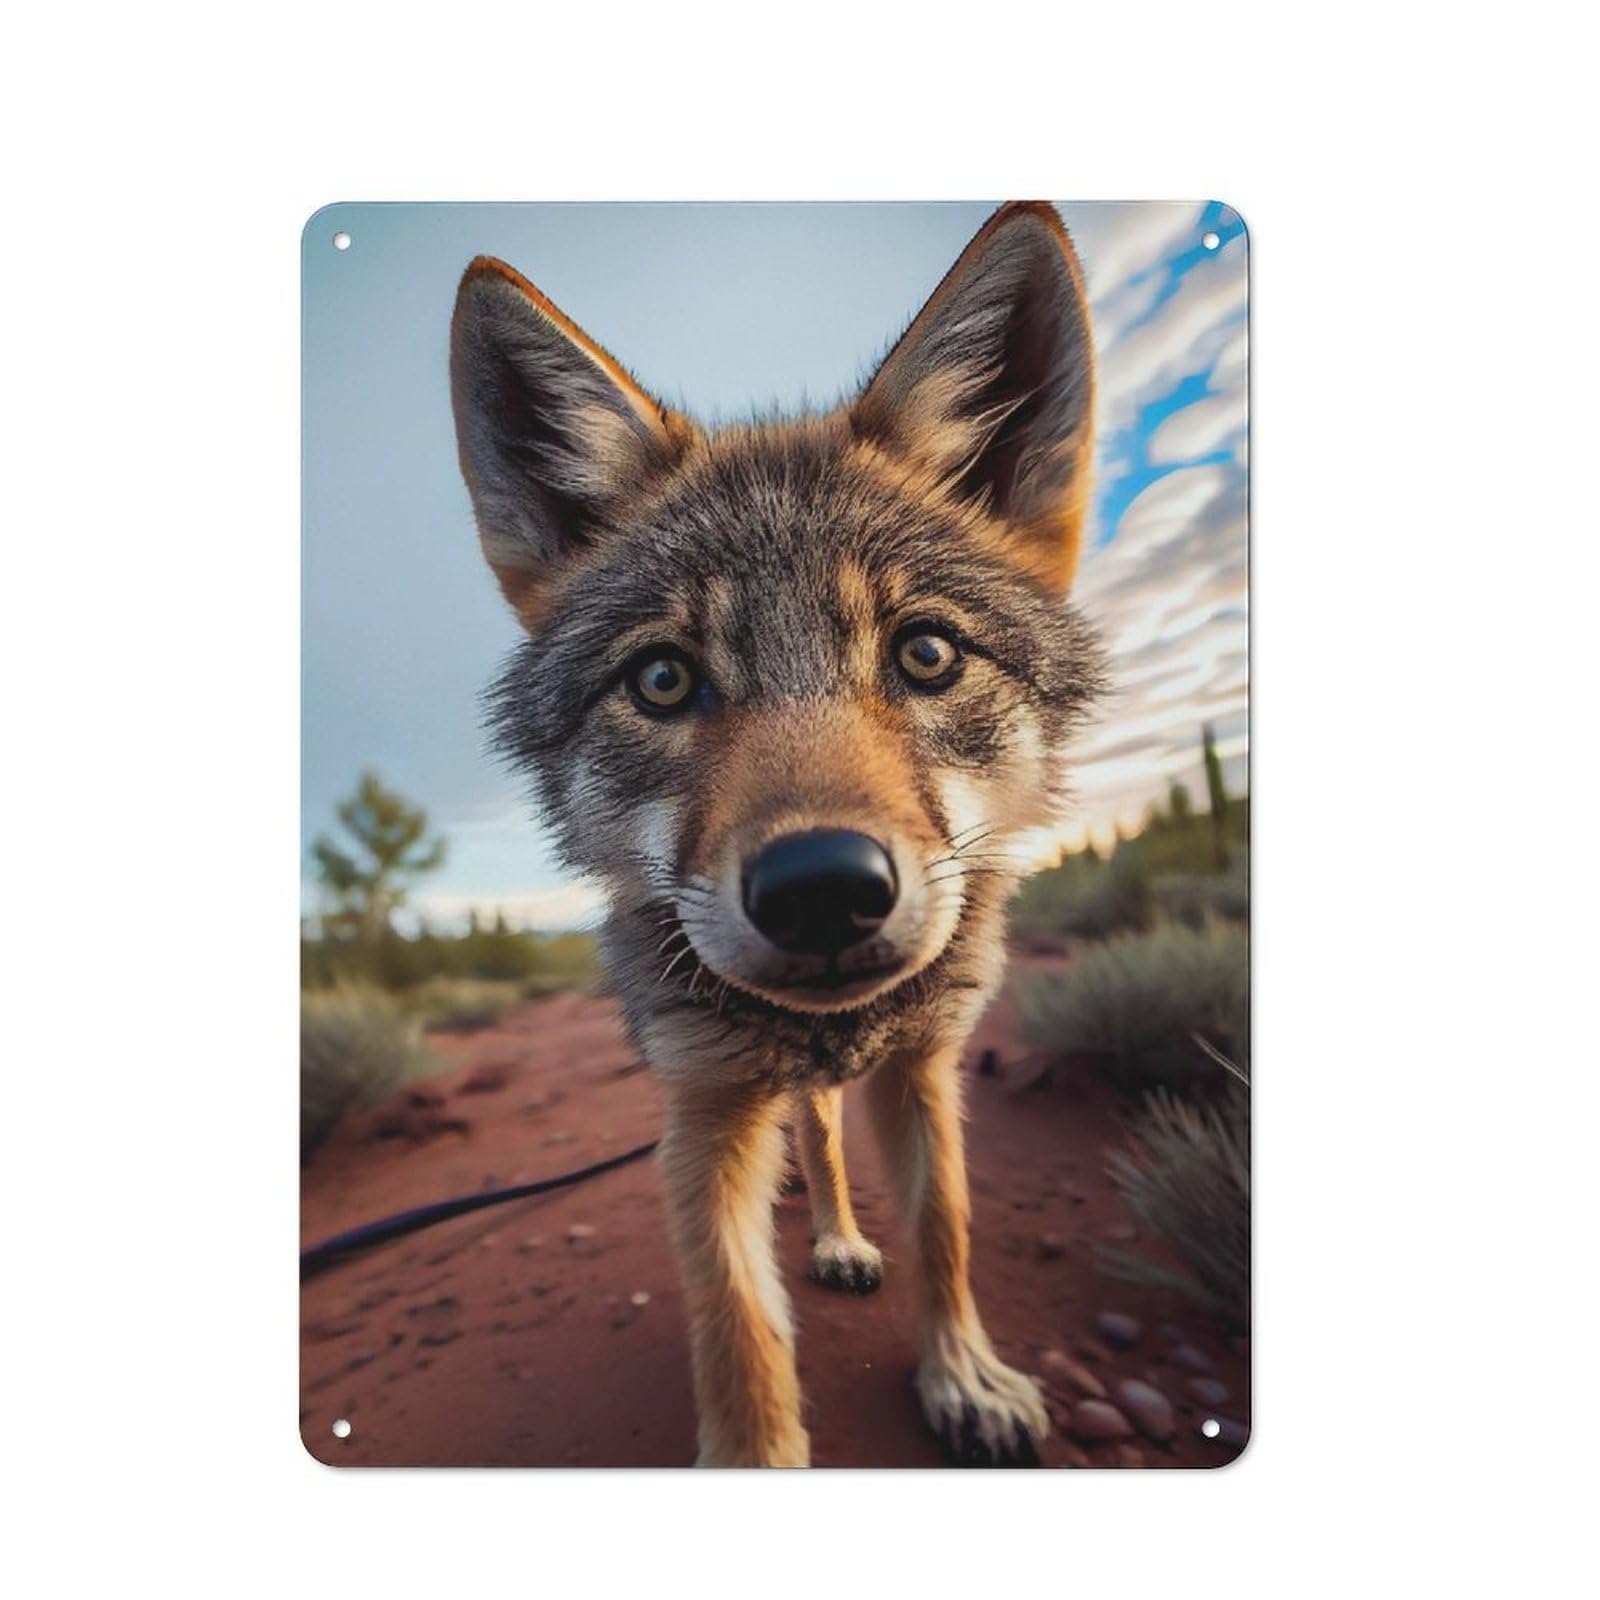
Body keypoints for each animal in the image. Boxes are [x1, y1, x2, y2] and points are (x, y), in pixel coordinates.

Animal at [450, 202, 1102, 1466]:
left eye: (926, 653)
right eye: (662, 679)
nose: (821, 888)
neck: (826, 1030)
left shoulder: (923, 1066)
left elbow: (944, 1228)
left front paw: (963, 1374)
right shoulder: (702, 1112)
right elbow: (735, 1322)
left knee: (830, 1134)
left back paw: (844, 1235)